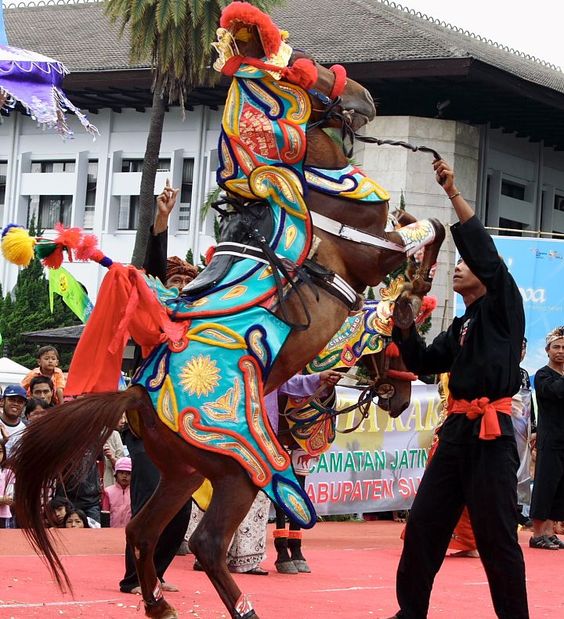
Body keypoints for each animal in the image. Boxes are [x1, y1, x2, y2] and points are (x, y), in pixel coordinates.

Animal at [6, 6, 442, 619]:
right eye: (302, 66)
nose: (364, 96)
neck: (303, 191)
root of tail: (136, 394)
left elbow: (421, 229)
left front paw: (411, 291)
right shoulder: (369, 250)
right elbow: (427, 230)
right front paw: (412, 289)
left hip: (185, 471)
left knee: (142, 530)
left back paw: (159, 604)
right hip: (239, 468)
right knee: (207, 543)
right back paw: (240, 606)